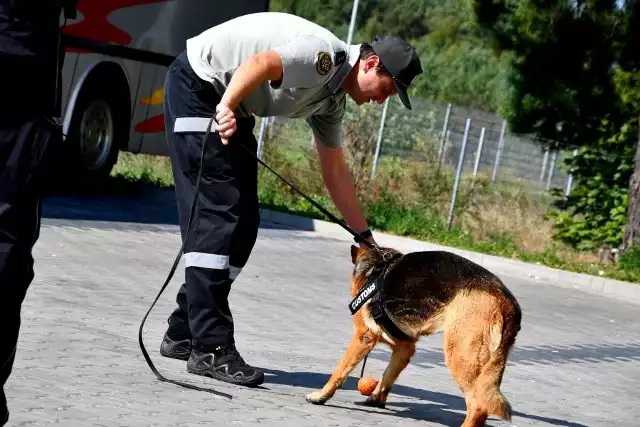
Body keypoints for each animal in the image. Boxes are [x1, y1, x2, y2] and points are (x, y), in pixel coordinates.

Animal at [308, 246, 524, 426]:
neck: (375, 270)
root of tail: (505, 300)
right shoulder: (405, 348)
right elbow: (388, 375)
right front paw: (376, 399)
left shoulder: (363, 337)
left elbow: (339, 371)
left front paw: (321, 396)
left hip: (461, 359)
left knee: (478, 407)